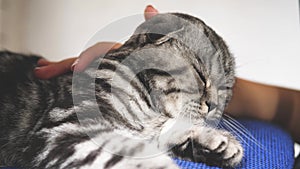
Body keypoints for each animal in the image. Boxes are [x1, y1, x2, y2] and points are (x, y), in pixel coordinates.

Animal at [0, 12, 244, 168]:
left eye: (226, 89)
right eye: (201, 75)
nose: (213, 105)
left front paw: (214, 143)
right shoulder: (70, 128)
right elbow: (125, 156)